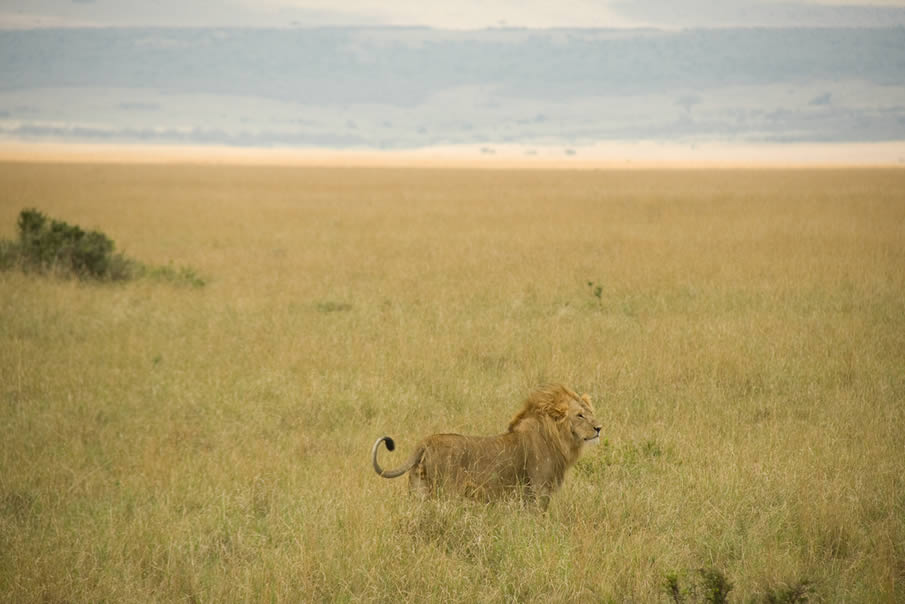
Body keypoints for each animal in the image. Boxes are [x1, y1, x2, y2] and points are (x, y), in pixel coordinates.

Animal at [370, 382, 596, 510]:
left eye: (591, 413)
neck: (560, 439)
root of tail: (426, 442)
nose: (599, 428)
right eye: (580, 415)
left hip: (419, 491)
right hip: (447, 494)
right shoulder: (539, 491)